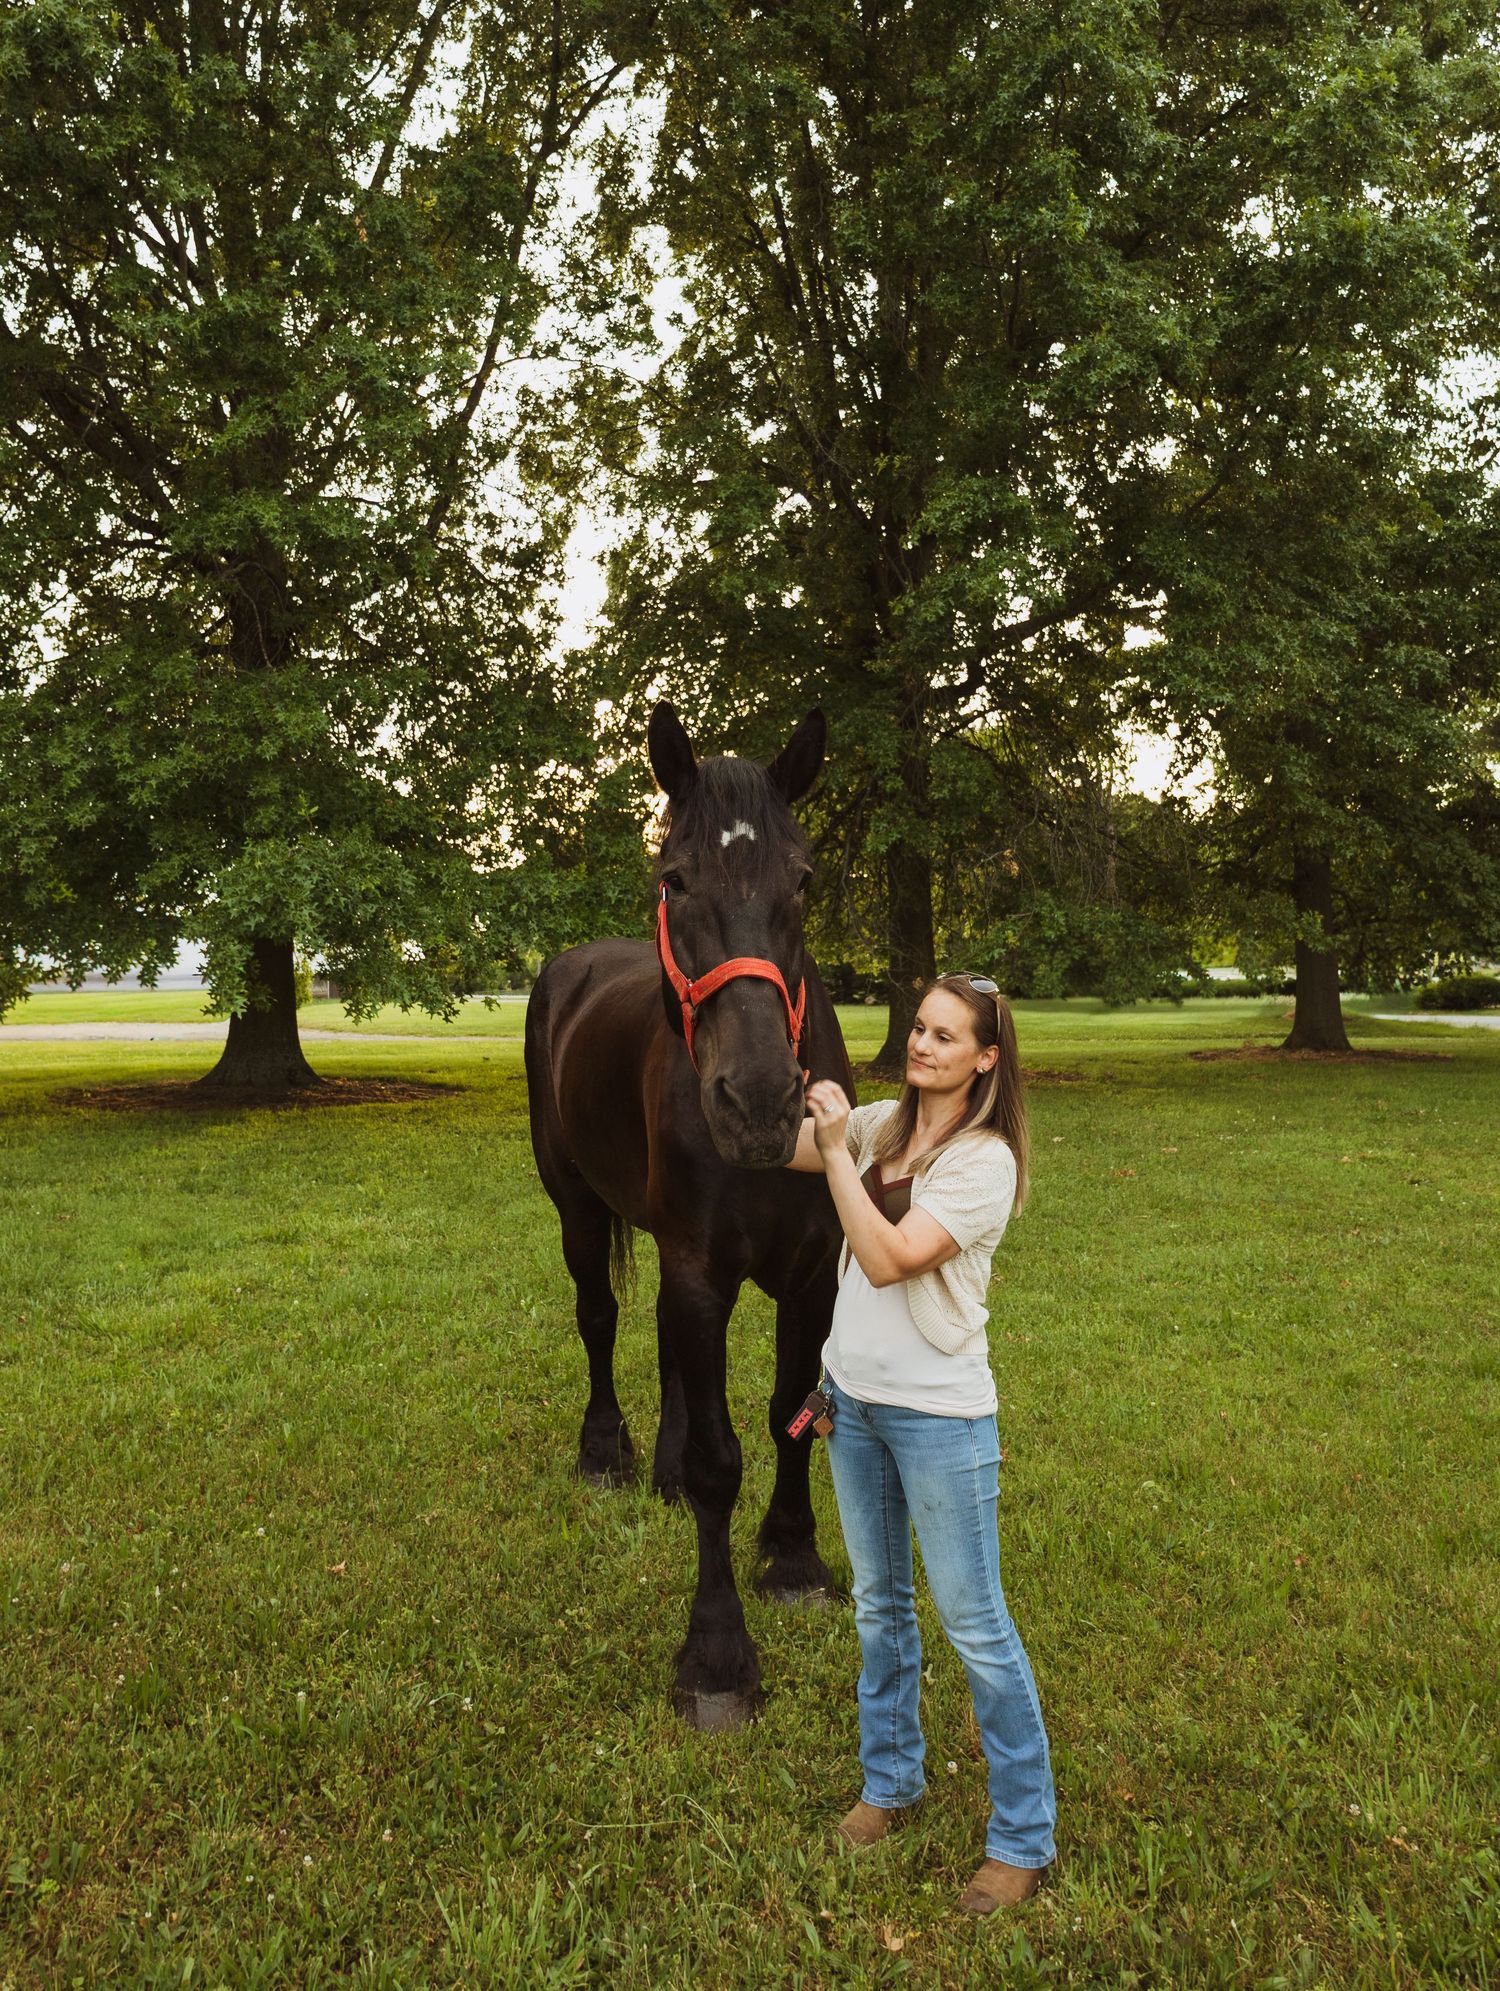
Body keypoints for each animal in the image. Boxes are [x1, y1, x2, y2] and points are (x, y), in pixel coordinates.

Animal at [524, 700, 856, 1730]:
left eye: (805, 878)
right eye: (675, 877)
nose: (758, 1104)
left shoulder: (810, 1275)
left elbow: (792, 1411)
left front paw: (793, 1556)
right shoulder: (700, 1271)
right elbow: (720, 1459)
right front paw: (716, 1653)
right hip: (577, 1207)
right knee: (599, 1318)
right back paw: (608, 1454)